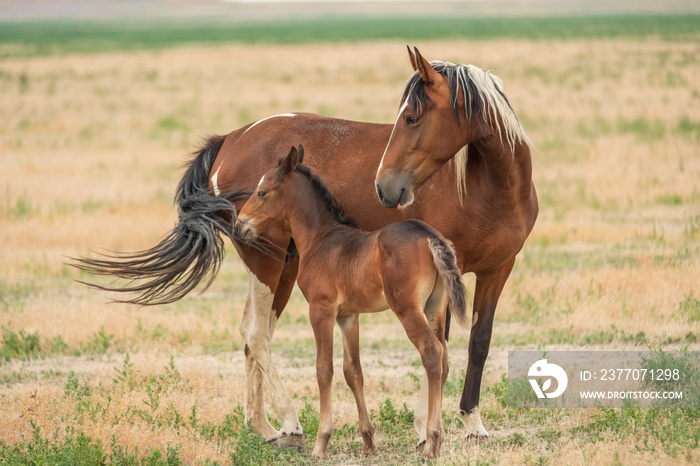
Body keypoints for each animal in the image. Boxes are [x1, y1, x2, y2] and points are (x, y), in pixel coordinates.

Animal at [232, 146, 468, 458]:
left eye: (262, 192)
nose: (239, 226)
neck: (320, 238)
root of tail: (429, 236)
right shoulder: (348, 316)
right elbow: (353, 371)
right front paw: (368, 441)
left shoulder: (320, 310)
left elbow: (324, 370)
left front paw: (321, 443)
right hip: (436, 309)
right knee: (443, 357)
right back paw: (433, 440)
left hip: (407, 309)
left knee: (431, 353)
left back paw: (431, 441)